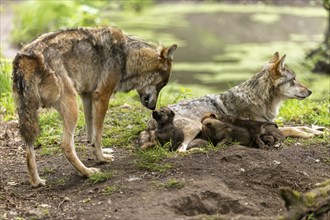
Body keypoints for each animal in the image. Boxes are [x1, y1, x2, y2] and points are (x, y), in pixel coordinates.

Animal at [12, 26, 178, 186]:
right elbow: (98, 134)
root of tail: (25, 58)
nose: (153, 108)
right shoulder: (102, 97)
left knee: (28, 149)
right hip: (72, 108)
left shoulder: (87, 95)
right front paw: (101, 158)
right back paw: (87, 172)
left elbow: (91, 131)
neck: (127, 56)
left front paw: (95, 149)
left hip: (31, 116)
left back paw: (36, 182)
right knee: (66, 145)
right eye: (162, 85)